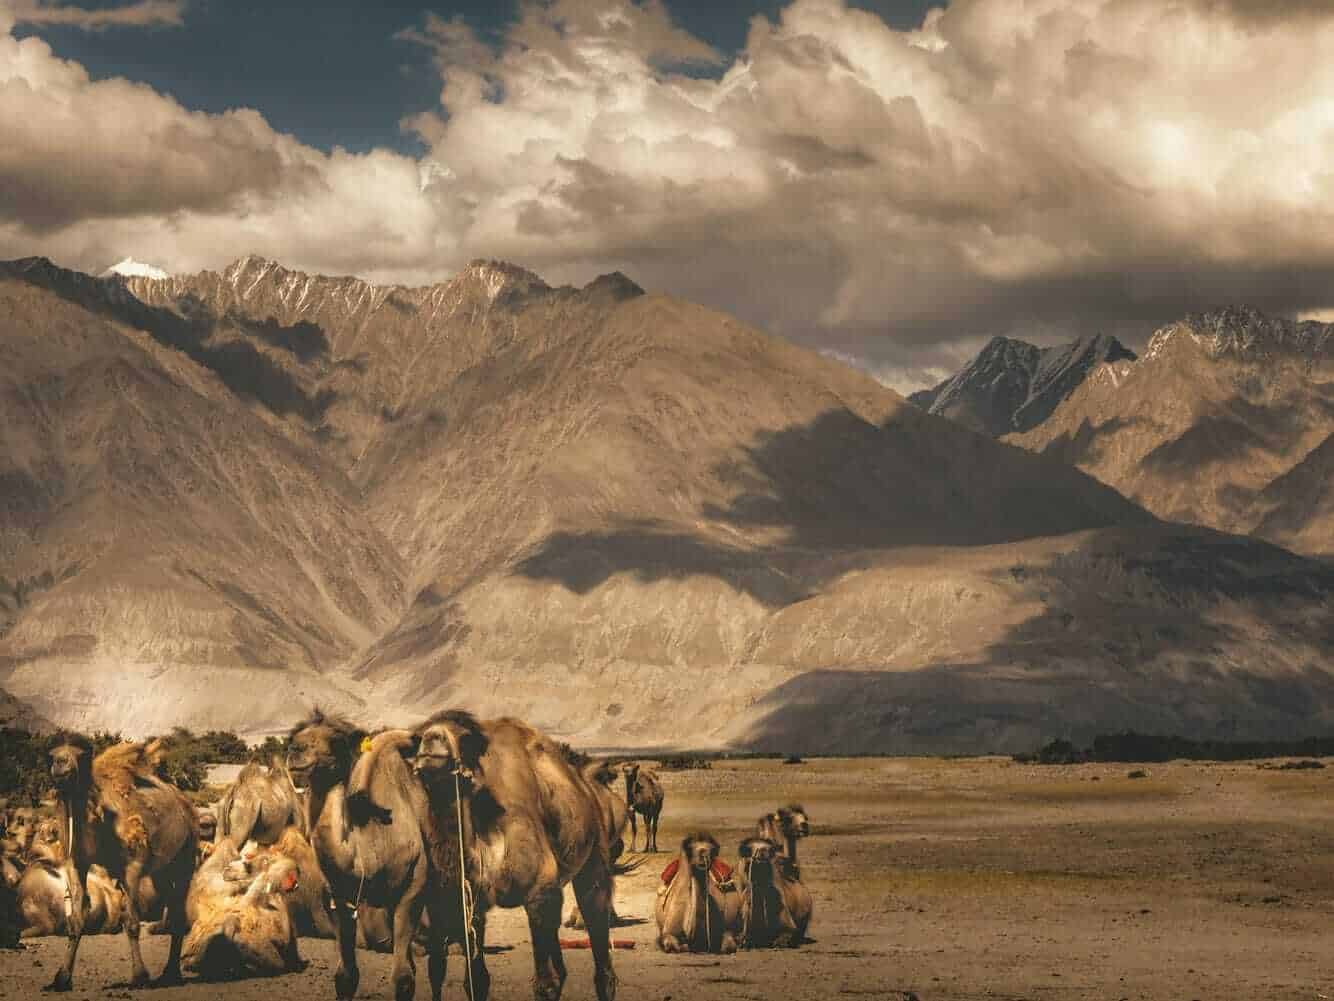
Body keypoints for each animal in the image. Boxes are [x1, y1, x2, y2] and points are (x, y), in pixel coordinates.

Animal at [44, 736, 196, 998]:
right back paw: (169, 973)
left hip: (186, 854)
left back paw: (171, 974)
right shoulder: (76, 862)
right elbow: (76, 920)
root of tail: (185, 803)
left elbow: (132, 922)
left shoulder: (132, 866)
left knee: (179, 909)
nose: (61, 765)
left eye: (82, 756)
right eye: (52, 756)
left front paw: (140, 977)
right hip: (161, 871)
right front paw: (61, 979)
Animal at [405, 715, 618, 1001]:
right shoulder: (472, 905)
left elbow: (545, 984)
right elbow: (477, 982)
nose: (432, 737)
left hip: (595, 850)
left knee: (596, 918)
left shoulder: (538, 891)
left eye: (465, 738)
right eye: (418, 738)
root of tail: (583, 781)